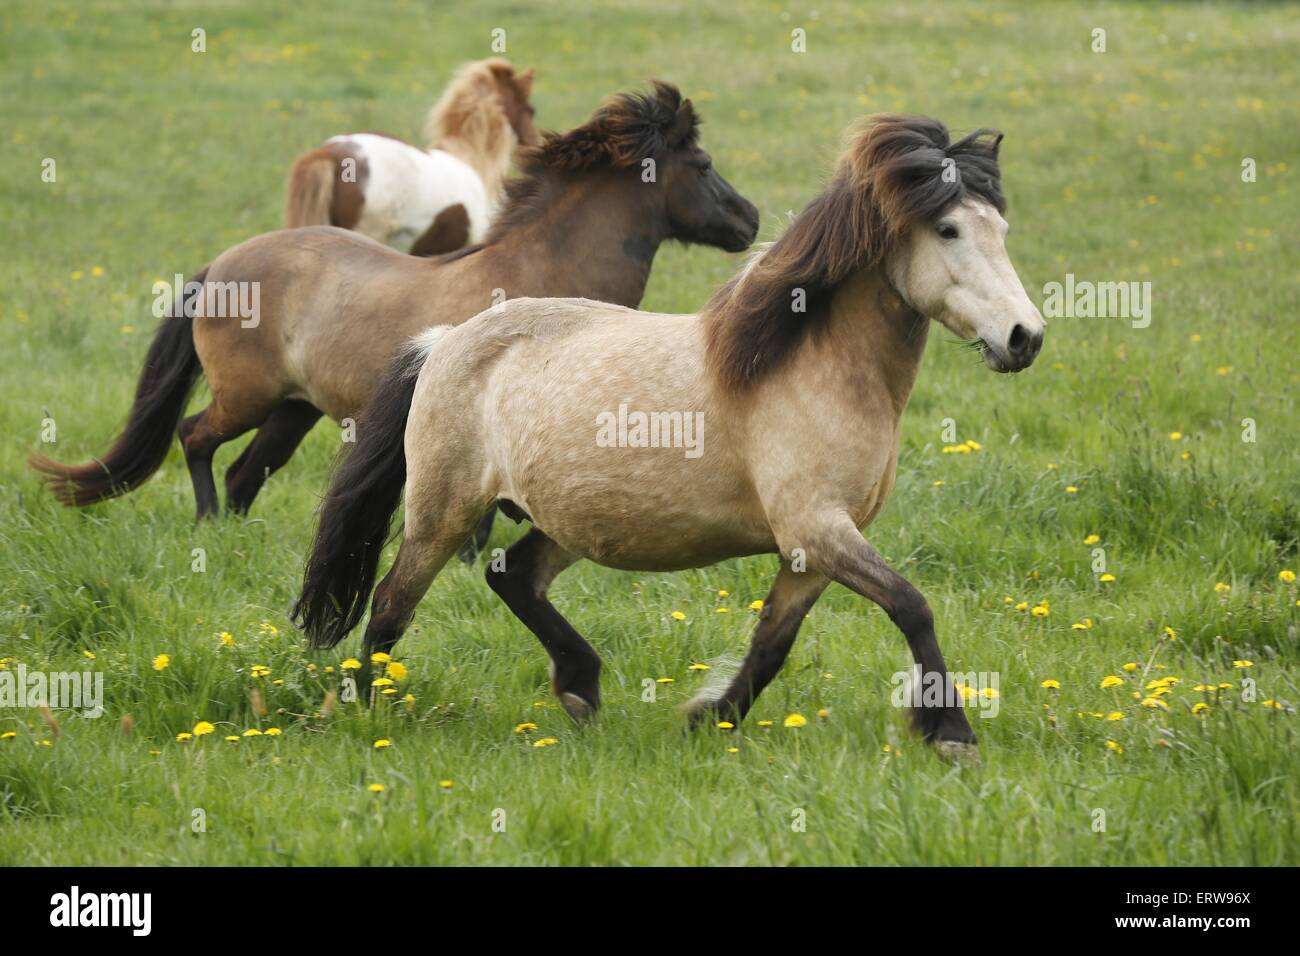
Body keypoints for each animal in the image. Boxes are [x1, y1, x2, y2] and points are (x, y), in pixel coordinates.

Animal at [292, 113, 1045, 764]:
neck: (806, 363)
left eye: (1002, 228)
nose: (1025, 338)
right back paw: (372, 712)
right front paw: (952, 734)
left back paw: (580, 686)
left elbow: (772, 644)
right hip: (442, 513)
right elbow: (912, 606)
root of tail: (445, 341)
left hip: (564, 522)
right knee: (391, 605)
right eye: (948, 229)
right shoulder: (818, 528)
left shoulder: (808, 552)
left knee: (513, 577)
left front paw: (708, 719)